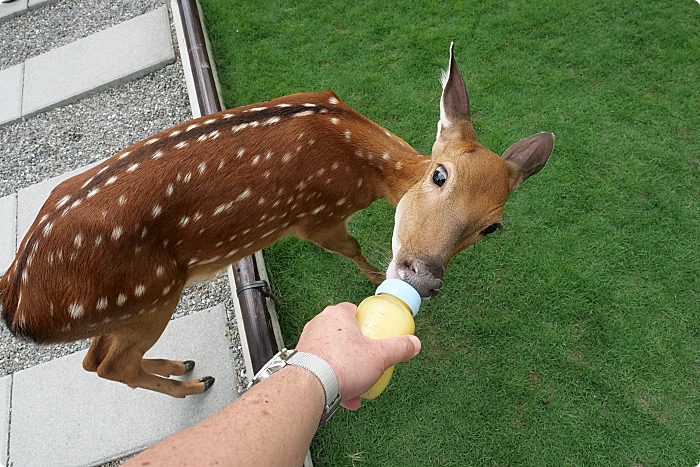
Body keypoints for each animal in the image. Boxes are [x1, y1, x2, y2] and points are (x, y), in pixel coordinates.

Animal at [1, 44, 552, 398]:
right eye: (439, 174)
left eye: (492, 227)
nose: (424, 274)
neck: (363, 171)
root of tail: (17, 305)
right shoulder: (318, 217)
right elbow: (349, 247)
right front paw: (375, 278)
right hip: (149, 295)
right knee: (111, 364)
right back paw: (194, 383)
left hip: (123, 308)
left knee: (94, 360)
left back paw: (184, 366)